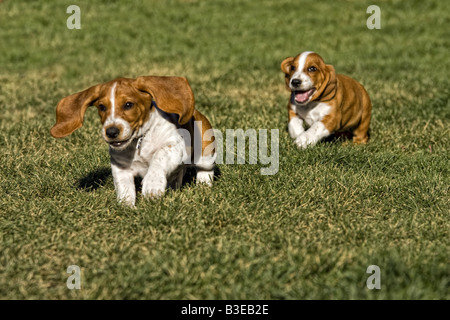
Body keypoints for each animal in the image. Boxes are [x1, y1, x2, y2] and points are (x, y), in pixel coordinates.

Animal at [50, 75, 215, 206]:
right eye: (102, 107)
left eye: (128, 105)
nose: (111, 132)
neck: (139, 140)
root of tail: (196, 112)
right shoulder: (121, 167)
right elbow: (124, 188)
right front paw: (126, 207)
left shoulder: (174, 146)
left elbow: (158, 157)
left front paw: (152, 184)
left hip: (205, 156)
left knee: (205, 170)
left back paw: (203, 185)